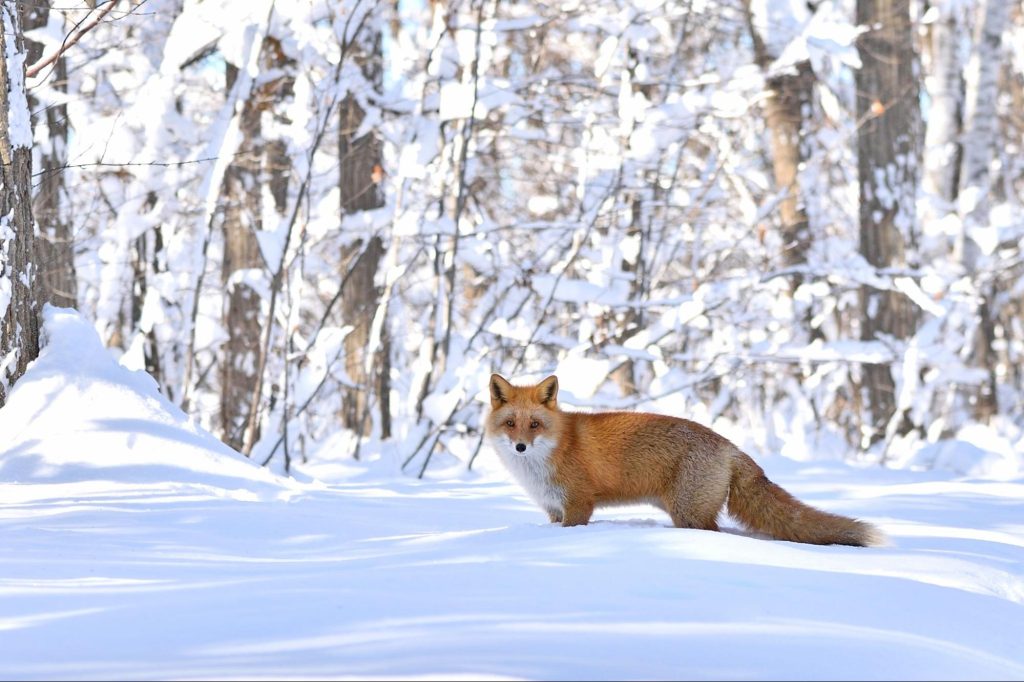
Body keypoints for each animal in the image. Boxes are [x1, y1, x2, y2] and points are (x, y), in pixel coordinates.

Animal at [483, 374, 884, 544]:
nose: (520, 447)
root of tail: (730, 445)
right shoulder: (555, 510)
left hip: (688, 514)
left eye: (535, 424)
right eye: (511, 424)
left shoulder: (579, 505)